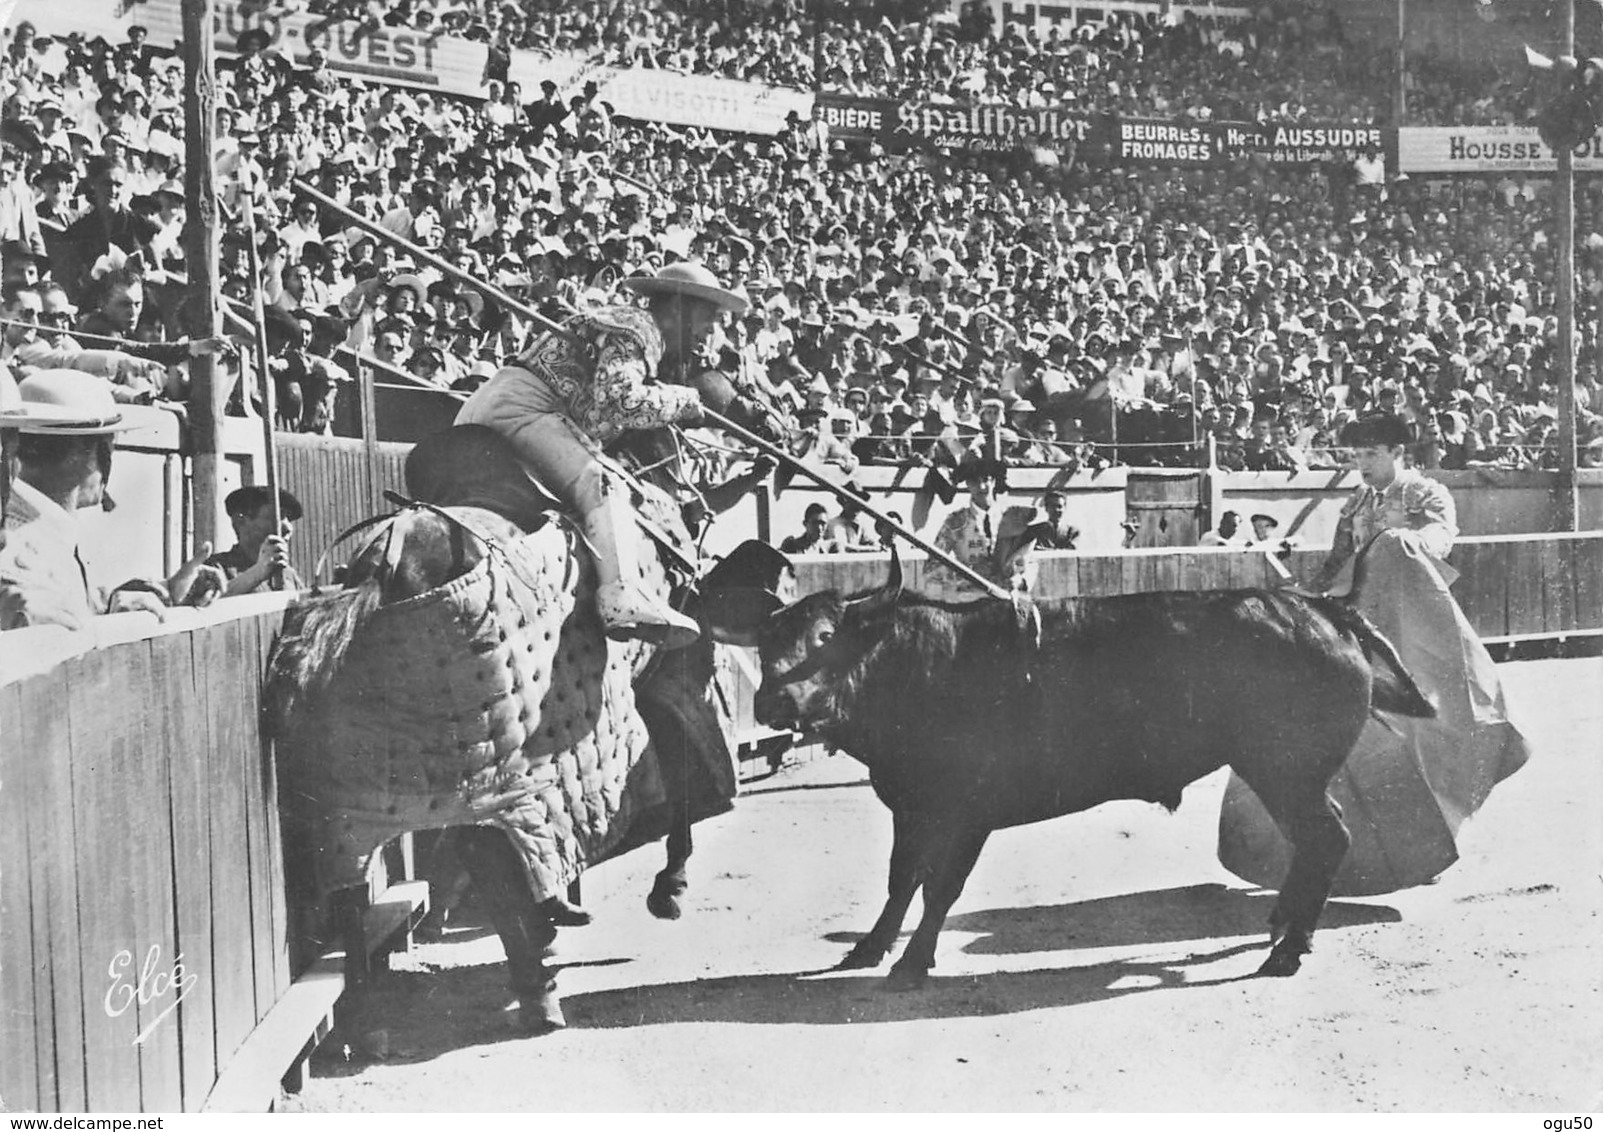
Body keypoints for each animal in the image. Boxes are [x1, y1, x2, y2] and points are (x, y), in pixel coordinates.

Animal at [734, 551, 1436, 981]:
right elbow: (901, 878)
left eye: (826, 637)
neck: (918, 664)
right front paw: (870, 948)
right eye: (766, 644)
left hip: (1285, 770)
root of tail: (1320, 609)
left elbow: (940, 887)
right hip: (1289, 774)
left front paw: (912, 963)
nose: (772, 703)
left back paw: (1288, 951)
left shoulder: (965, 814)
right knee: (1319, 837)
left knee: (1328, 837)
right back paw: (1286, 928)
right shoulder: (910, 806)